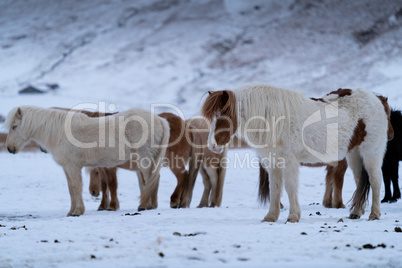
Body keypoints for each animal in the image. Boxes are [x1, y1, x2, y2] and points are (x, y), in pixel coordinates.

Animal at [5, 105, 170, 217]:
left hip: (145, 159)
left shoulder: (73, 167)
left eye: (14, 126)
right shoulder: (66, 168)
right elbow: (71, 189)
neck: (61, 133)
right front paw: (71, 211)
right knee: (154, 179)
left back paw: (144, 205)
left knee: (150, 180)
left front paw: (78, 211)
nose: (9, 148)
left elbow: (76, 187)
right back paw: (150, 206)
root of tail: (160, 119)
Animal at [201, 85, 390, 222]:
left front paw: (292, 217)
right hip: (355, 155)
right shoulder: (273, 162)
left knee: (375, 181)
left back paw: (374, 214)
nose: (212, 146)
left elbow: (290, 187)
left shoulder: (289, 161)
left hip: (371, 152)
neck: (272, 119)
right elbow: (275, 188)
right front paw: (271, 217)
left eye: (222, 116)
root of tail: (376, 98)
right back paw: (356, 212)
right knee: (360, 181)